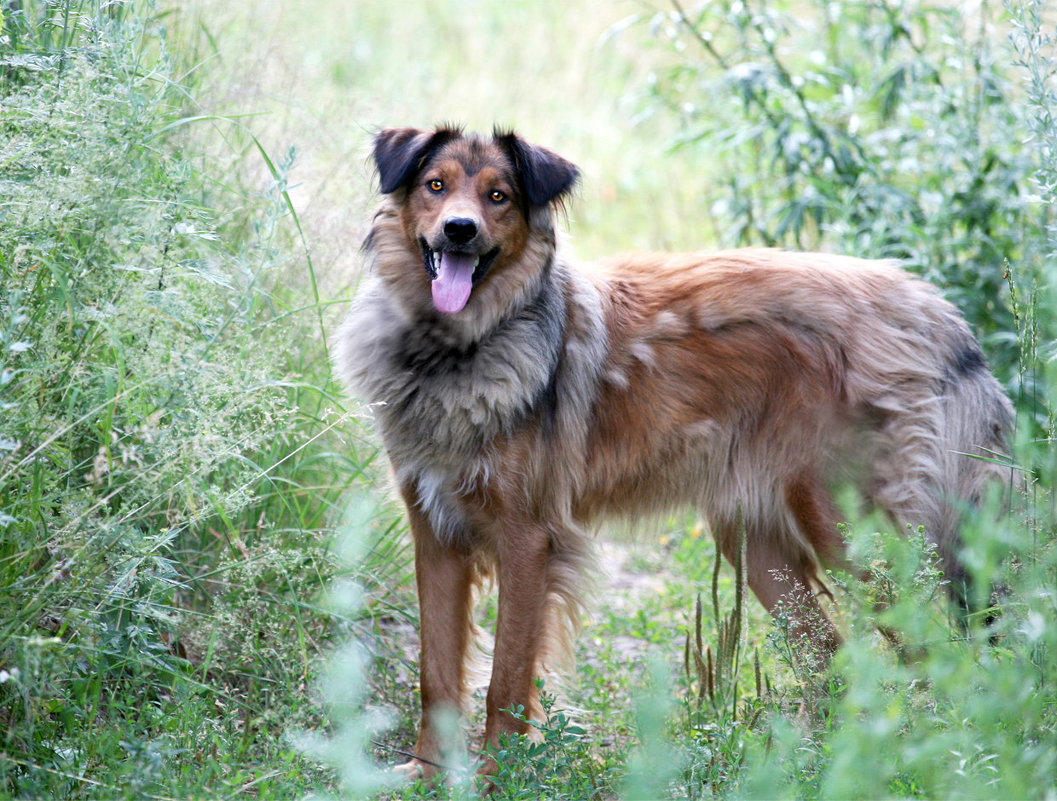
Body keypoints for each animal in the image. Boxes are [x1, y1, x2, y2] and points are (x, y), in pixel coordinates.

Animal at [334, 126, 1010, 786]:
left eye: (498, 196)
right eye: (435, 185)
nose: (459, 230)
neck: (459, 349)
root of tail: (929, 307)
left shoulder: (526, 540)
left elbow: (505, 682)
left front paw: (500, 782)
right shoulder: (436, 535)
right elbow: (436, 673)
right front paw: (423, 776)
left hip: (847, 535)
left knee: (930, 651)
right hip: (759, 549)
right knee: (833, 663)